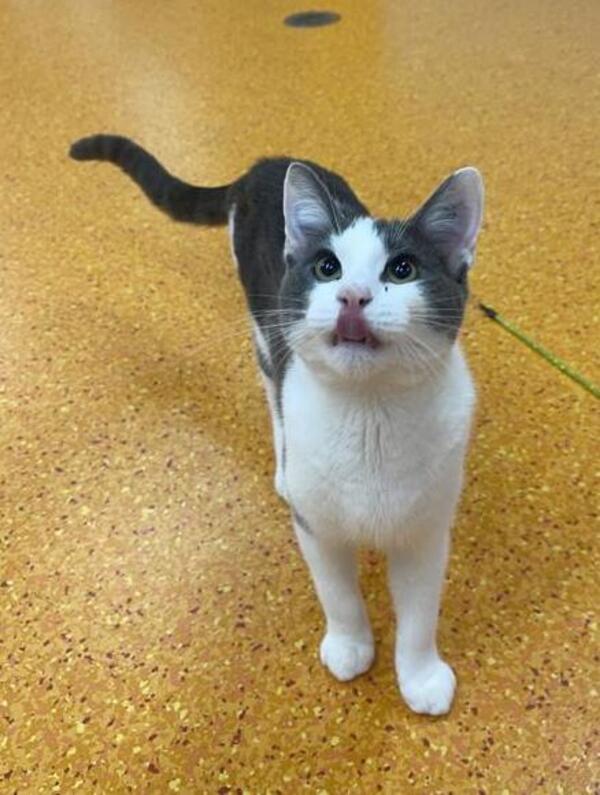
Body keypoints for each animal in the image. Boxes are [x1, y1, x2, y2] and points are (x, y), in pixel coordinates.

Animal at [70, 135, 483, 715]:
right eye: (328, 268)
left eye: (402, 271)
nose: (353, 295)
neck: (370, 414)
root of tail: (264, 166)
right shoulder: (316, 527)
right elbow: (338, 594)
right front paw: (350, 647)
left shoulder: (425, 530)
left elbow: (421, 611)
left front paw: (420, 676)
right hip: (264, 332)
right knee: (272, 392)